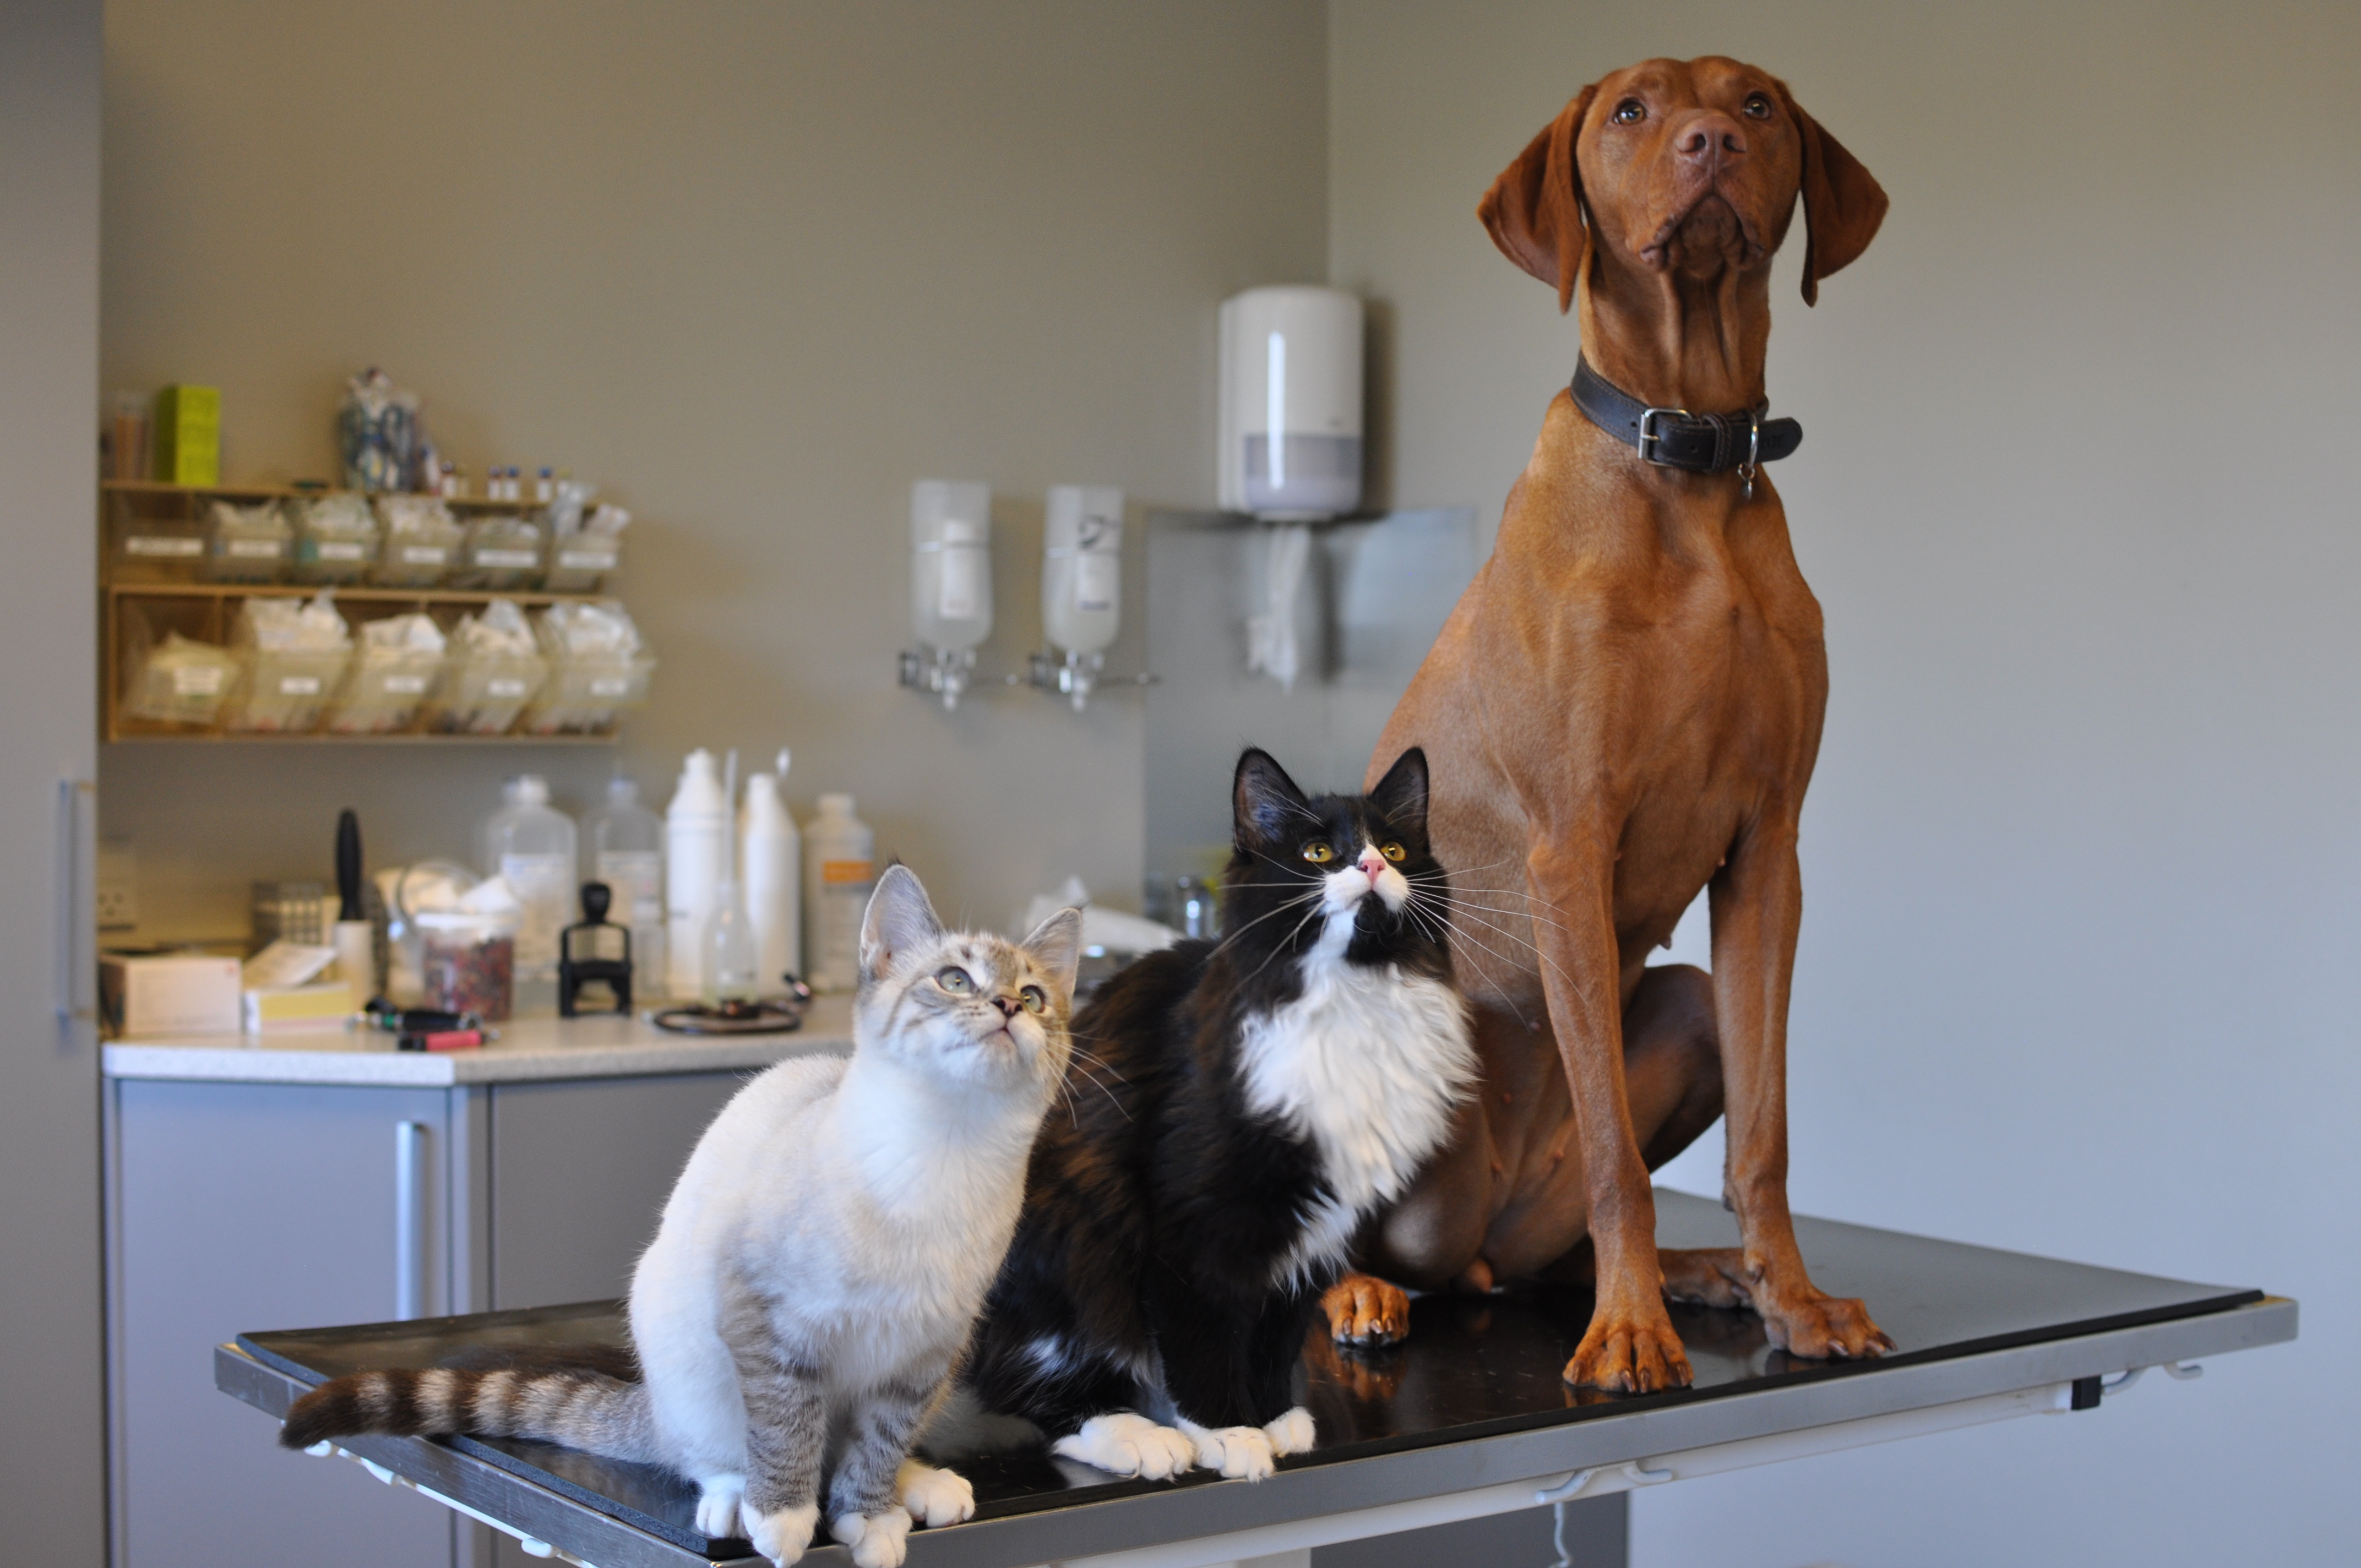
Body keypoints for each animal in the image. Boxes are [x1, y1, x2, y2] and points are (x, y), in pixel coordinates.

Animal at [280, 865, 1082, 1568]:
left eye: (1034, 995)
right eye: (955, 980)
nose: (1009, 1009)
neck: (944, 1154)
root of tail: (654, 1407)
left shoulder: (921, 1355)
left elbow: (879, 1445)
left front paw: (870, 1520)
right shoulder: (771, 1325)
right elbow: (786, 1429)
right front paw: (784, 1520)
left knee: (861, 1449)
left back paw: (921, 1489)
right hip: (686, 1348)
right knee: (712, 1453)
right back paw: (735, 1503)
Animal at [964, 746, 1476, 1482]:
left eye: (1396, 849)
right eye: (1319, 852)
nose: (1373, 867)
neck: (1353, 995)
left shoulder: (1315, 1228)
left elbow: (1277, 1330)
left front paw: (1272, 1417)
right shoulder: (1192, 1224)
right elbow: (1204, 1338)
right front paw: (1228, 1431)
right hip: (1071, 1237)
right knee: (1032, 1387)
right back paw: (1138, 1435)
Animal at [1321, 57, 1893, 1392]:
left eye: (1756, 107)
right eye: (1630, 111)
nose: (1706, 142)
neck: (1687, 471)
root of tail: (1469, 1247)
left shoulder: (1766, 853)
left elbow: (1764, 1136)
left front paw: (1791, 1296)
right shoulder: (1567, 846)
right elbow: (1614, 1156)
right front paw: (1628, 1330)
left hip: (1676, 1004)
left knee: (1550, 1249)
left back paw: (1702, 1274)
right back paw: (1366, 1285)